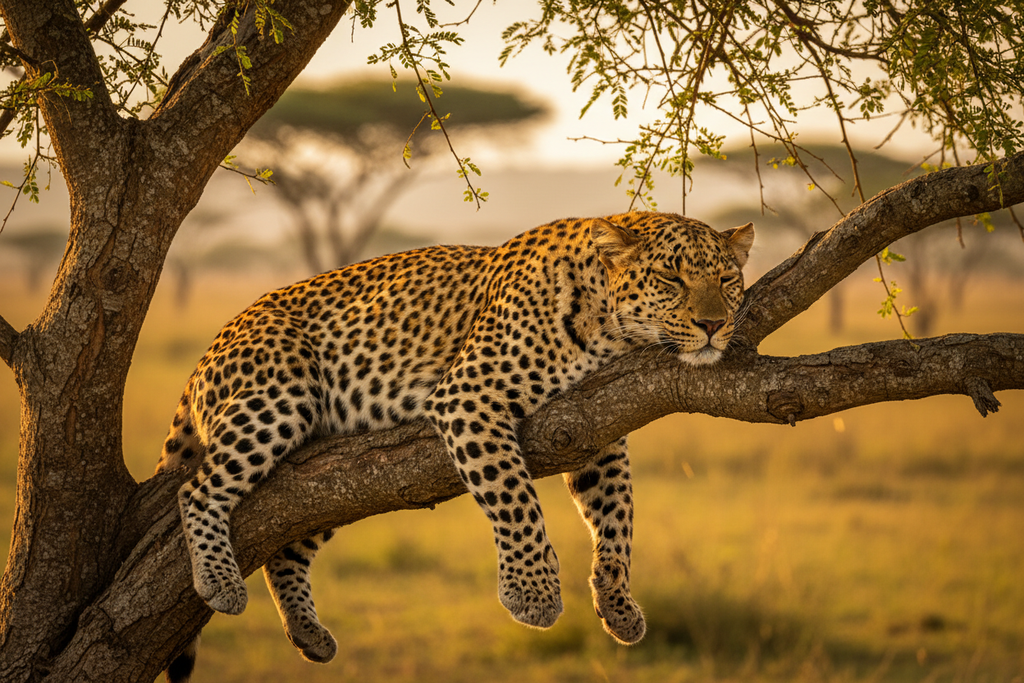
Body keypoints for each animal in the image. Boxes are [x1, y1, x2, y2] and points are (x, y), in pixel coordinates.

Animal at [156, 211, 754, 682]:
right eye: (671, 278)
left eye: (727, 279)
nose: (713, 324)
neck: (608, 329)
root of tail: (212, 345)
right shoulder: (470, 394)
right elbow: (516, 500)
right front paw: (534, 595)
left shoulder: (595, 430)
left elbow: (617, 517)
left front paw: (617, 603)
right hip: (281, 395)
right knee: (198, 489)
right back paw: (219, 582)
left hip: (332, 473)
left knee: (287, 542)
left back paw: (308, 633)